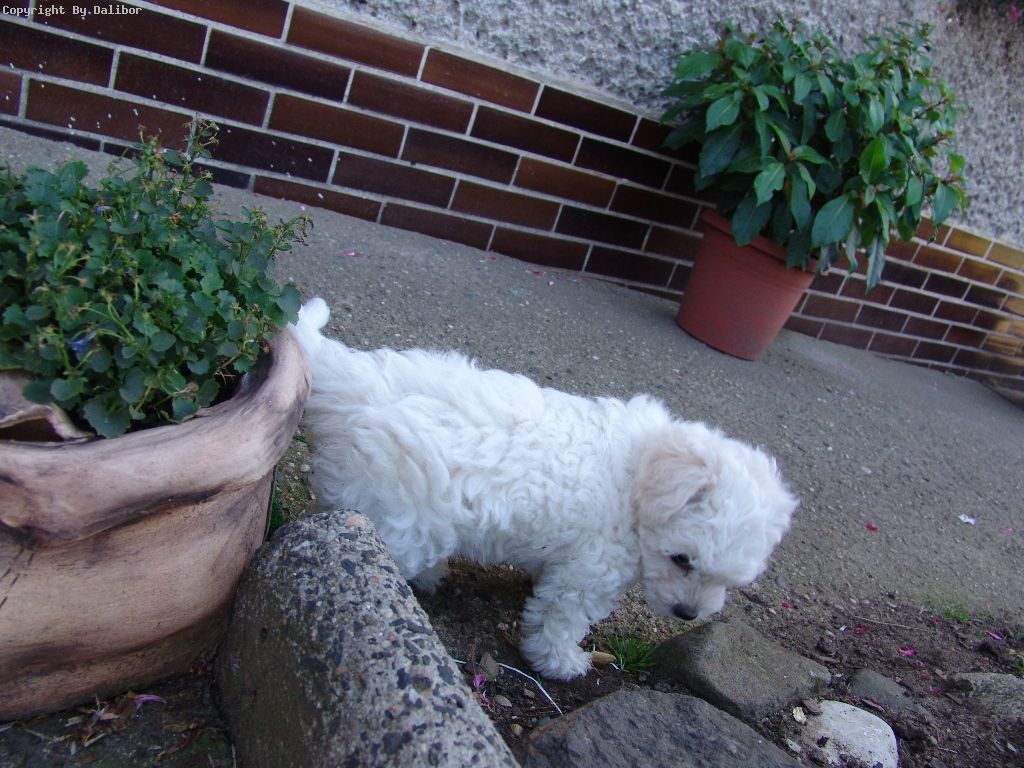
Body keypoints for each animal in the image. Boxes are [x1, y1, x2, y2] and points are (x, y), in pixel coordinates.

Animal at [290, 297, 797, 680]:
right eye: (682, 561)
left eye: (730, 581)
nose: (689, 615)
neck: (635, 477)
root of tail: (353, 385)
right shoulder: (587, 576)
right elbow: (559, 621)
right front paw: (561, 662)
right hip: (397, 512)